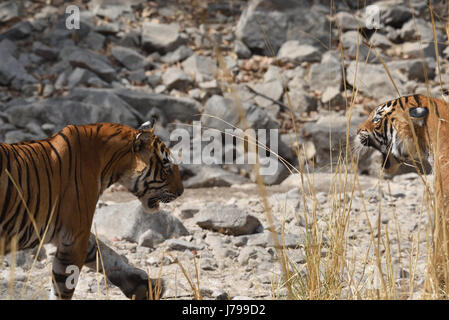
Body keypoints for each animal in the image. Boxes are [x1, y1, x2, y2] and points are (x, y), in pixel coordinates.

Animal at [0, 119, 184, 298]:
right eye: (166, 166)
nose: (181, 191)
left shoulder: (75, 235)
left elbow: (106, 254)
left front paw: (146, 286)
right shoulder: (74, 237)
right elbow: (63, 286)